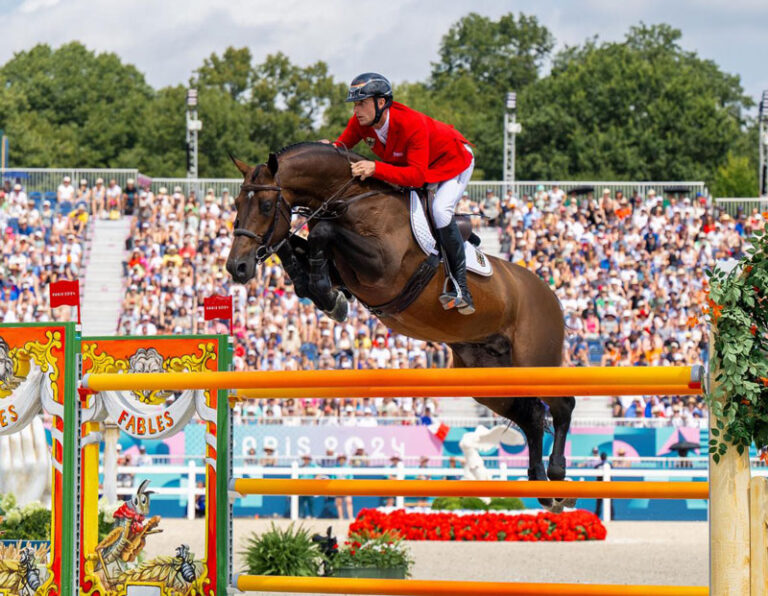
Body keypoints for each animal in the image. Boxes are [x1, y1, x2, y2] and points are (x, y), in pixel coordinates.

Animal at [225, 142, 572, 510]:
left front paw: (326, 295)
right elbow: (297, 245)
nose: (237, 267)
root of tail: (551, 295)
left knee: (562, 405)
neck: (351, 200)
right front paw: (321, 292)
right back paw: (540, 485)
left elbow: (321, 232)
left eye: (265, 205)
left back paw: (558, 475)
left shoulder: (383, 268)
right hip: (487, 376)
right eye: (236, 204)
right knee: (531, 415)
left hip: (535, 361)